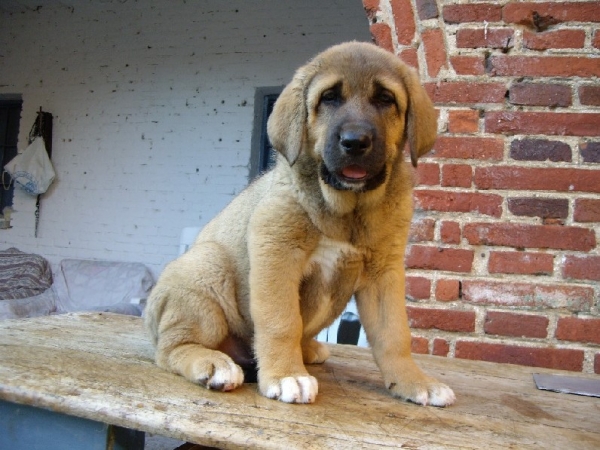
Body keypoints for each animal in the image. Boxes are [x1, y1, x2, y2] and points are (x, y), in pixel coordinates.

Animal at [145, 43, 454, 408]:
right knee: (172, 348)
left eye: (385, 99)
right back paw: (214, 364)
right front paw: (285, 375)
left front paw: (414, 382)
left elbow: (394, 334)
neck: (345, 210)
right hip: (205, 265)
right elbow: (282, 322)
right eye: (329, 98)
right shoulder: (277, 253)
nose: (355, 141)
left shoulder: (385, 272)